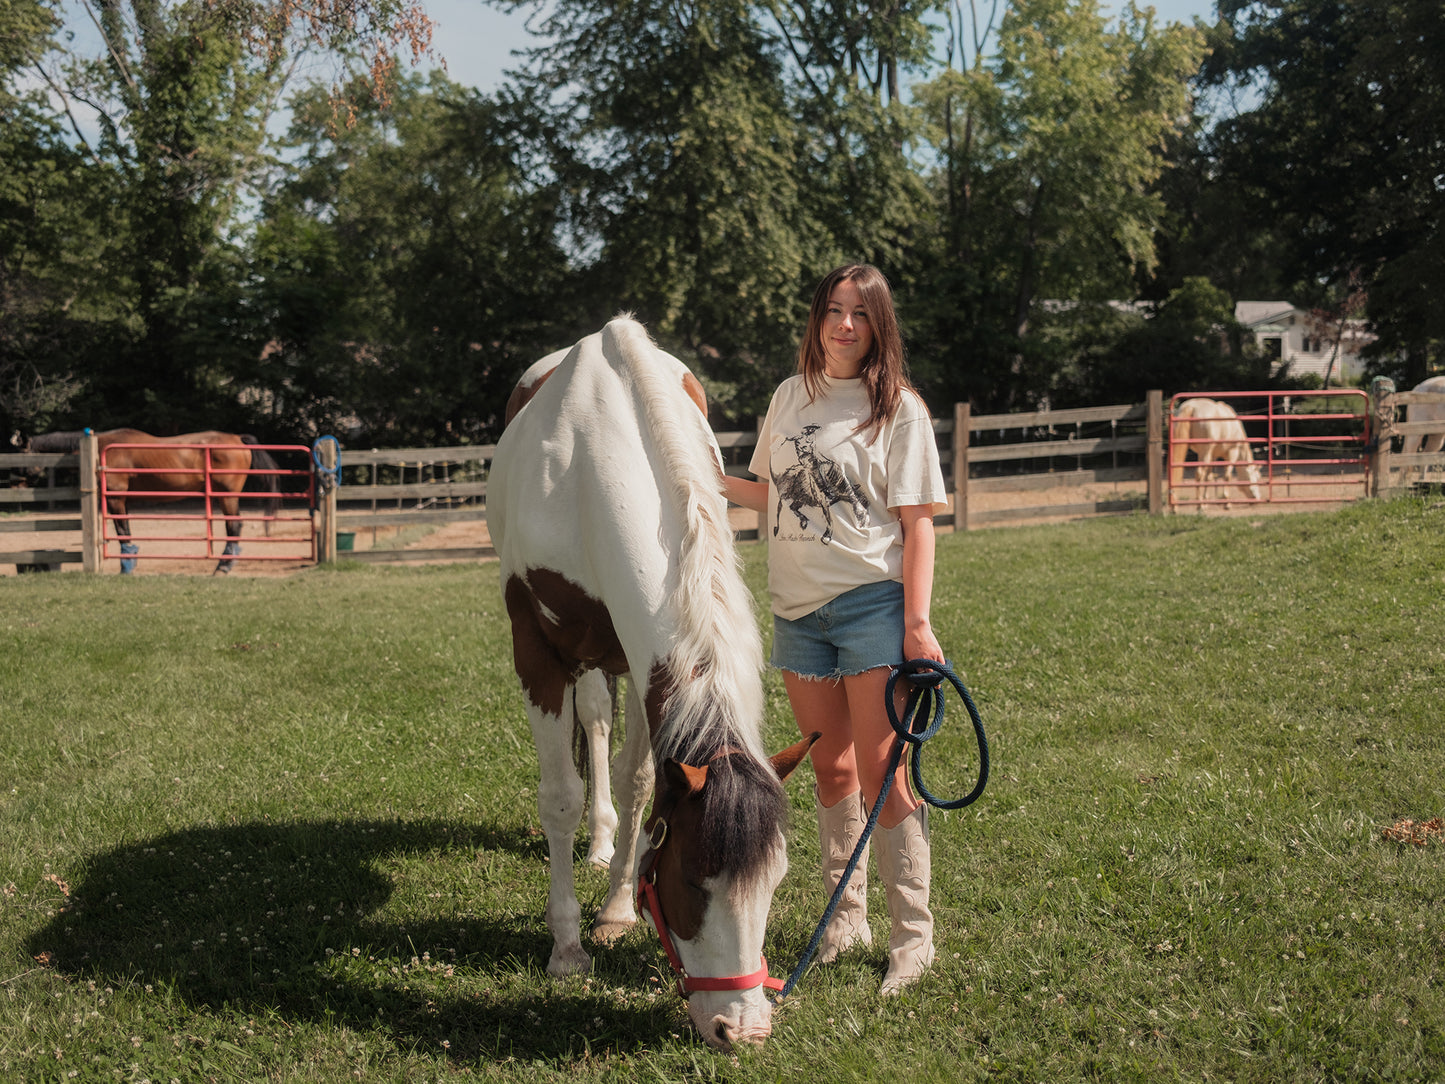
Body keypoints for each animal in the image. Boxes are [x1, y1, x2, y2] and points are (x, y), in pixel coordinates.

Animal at [26, 430, 281, 578]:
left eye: (26, 449)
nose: (30, 472)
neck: (100, 451)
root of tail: (238, 439)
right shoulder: (122, 499)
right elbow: (126, 529)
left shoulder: (116, 497)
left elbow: (122, 531)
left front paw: (126, 567)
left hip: (227, 496)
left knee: (234, 527)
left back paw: (223, 567)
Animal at [491, 313, 820, 1052]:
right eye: (693, 881)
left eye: (776, 880)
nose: (741, 1028)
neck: (594, 462)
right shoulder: (539, 651)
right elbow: (560, 795)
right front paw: (567, 949)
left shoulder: (640, 654)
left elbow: (642, 779)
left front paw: (615, 910)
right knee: (591, 726)